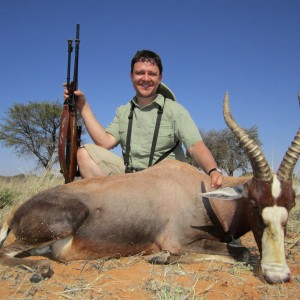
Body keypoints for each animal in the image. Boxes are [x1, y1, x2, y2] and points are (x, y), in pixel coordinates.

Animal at [0, 93, 298, 284]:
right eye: (254, 204)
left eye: (291, 205)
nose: (278, 275)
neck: (199, 192)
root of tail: (15, 212)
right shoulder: (179, 240)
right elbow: (242, 252)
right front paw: (161, 258)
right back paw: (40, 270)